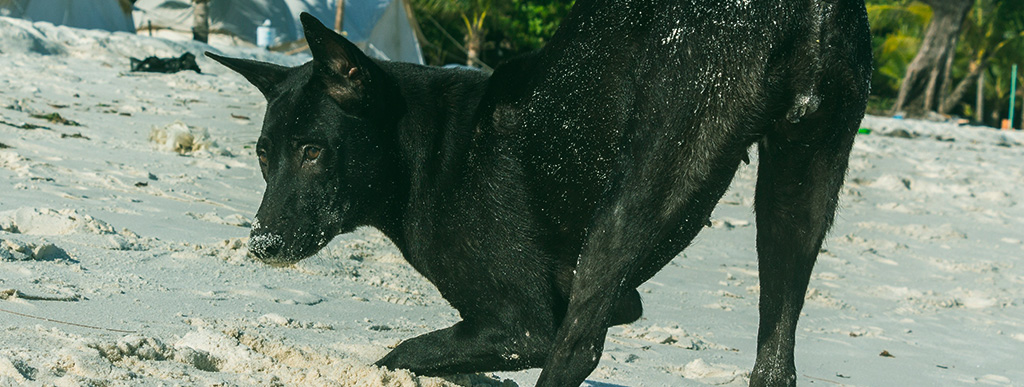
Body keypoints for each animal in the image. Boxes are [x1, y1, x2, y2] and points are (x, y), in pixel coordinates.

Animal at [207, 1, 872, 384]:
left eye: (313, 152)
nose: (261, 245)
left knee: (576, 353)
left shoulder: (520, 328)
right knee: (775, 358)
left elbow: (400, 354)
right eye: (263, 155)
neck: (423, 152)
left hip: (637, 196)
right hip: (797, 194)